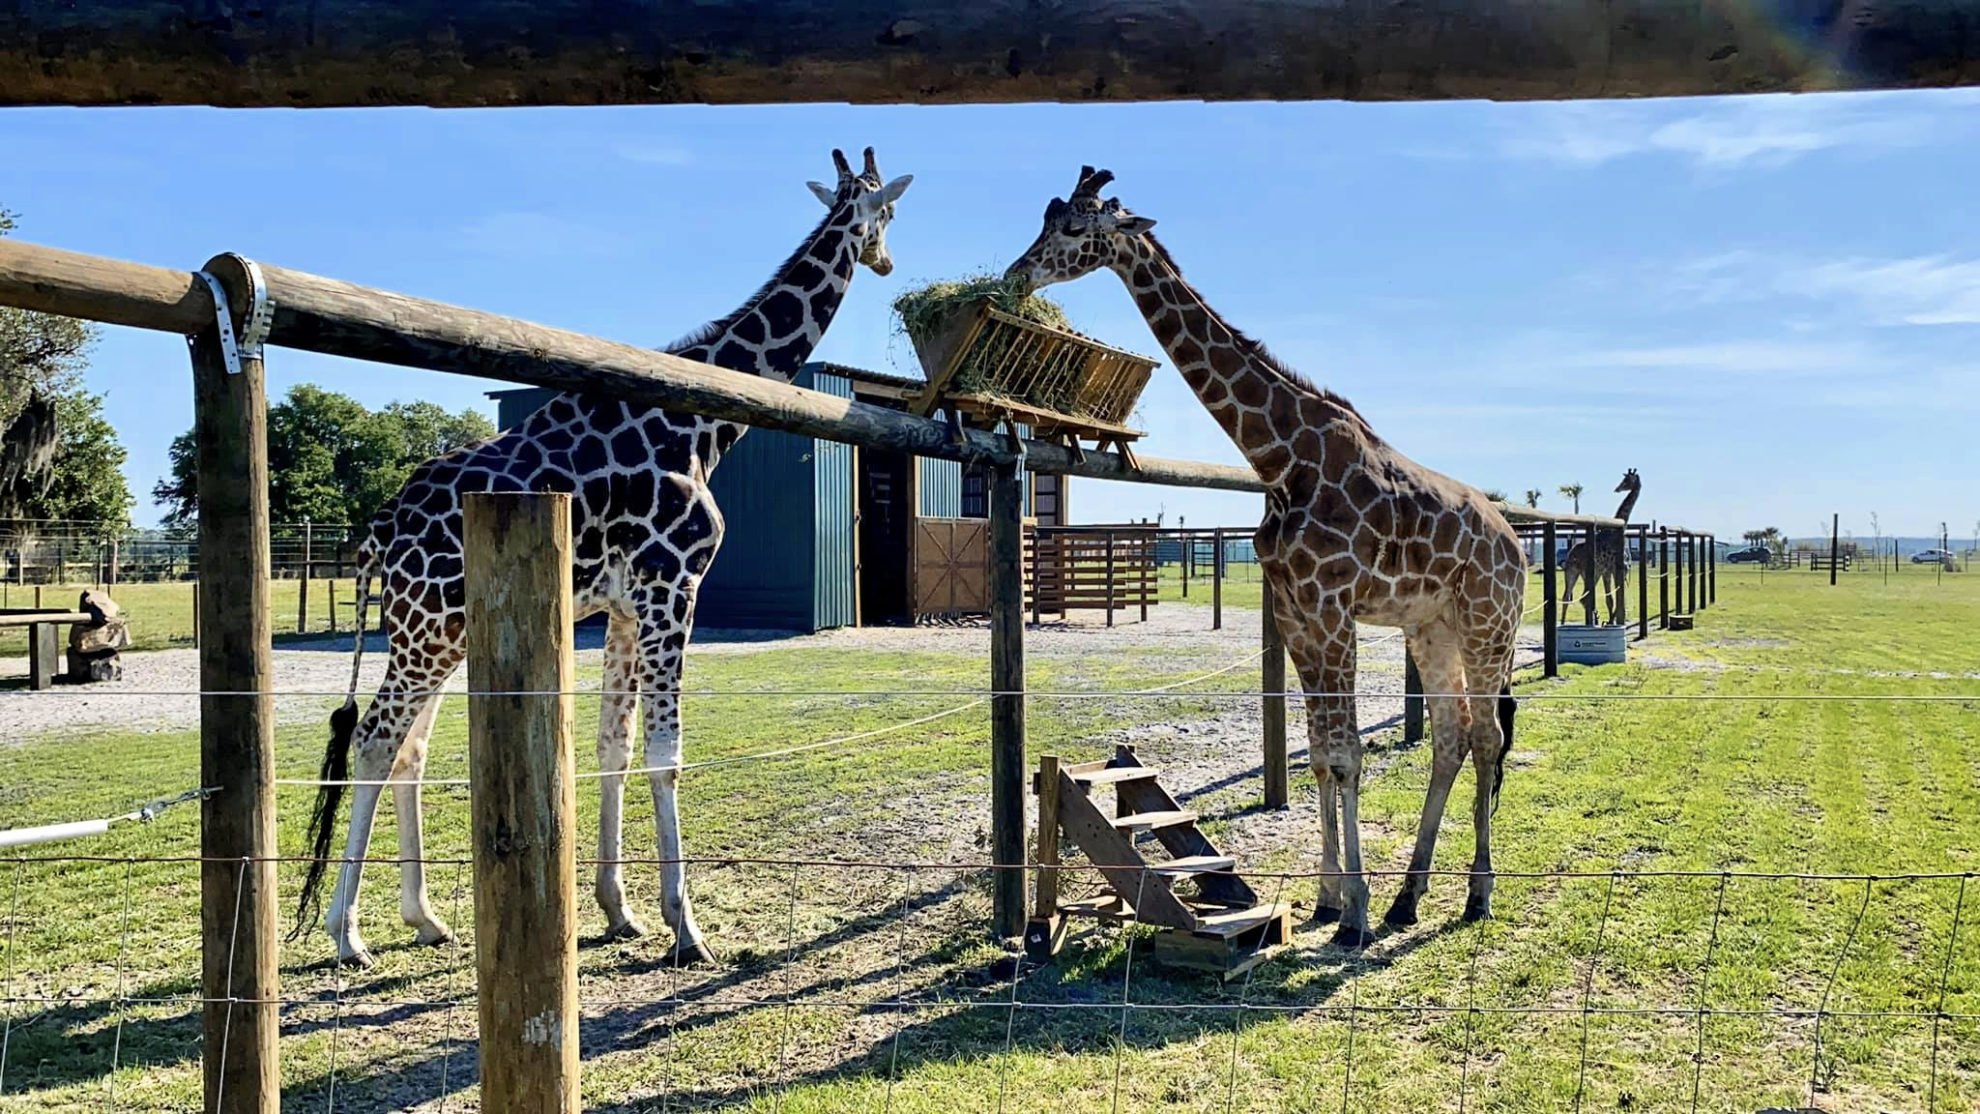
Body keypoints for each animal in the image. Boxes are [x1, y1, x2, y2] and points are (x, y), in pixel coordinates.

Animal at [1005, 168, 1528, 949]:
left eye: (1073, 228)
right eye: (1046, 218)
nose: (1016, 274)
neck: (1279, 458)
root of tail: (1517, 543)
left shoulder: (1332, 607)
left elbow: (1345, 755)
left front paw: (1355, 914)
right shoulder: (1297, 608)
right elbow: (1319, 753)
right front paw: (1330, 900)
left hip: (1487, 620)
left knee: (1489, 736)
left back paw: (1476, 896)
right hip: (1430, 625)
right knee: (1452, 736)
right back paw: (1410, 900)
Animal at [1560, 468, 1639, 629]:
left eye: (1627, 480)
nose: (1617, 489)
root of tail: (1572, 555)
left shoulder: (1607, 571)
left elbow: (1611, 600)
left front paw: (1609, 621)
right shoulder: (1616, 569)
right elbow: (1617, 599)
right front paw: (1610, 621)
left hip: (1573, 571)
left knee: (1567, 597)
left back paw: (1563, 623)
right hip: (1590, 572)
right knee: (1583, 598)